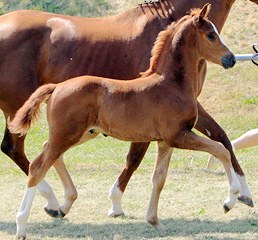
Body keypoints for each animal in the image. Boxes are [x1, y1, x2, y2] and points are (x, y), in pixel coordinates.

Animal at [1, 0, 256, 218]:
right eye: (211, 35)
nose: (231, 58)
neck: (168, 82)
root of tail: (56, 87)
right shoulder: (175, 135)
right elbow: (218, 148)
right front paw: (232, 198)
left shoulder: (171, 135)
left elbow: (219, 139)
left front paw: (243, 194)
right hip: (40, 119)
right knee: (27, 157)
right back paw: (44, 207)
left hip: (78, 133)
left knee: (45, 152)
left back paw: (60, 205)